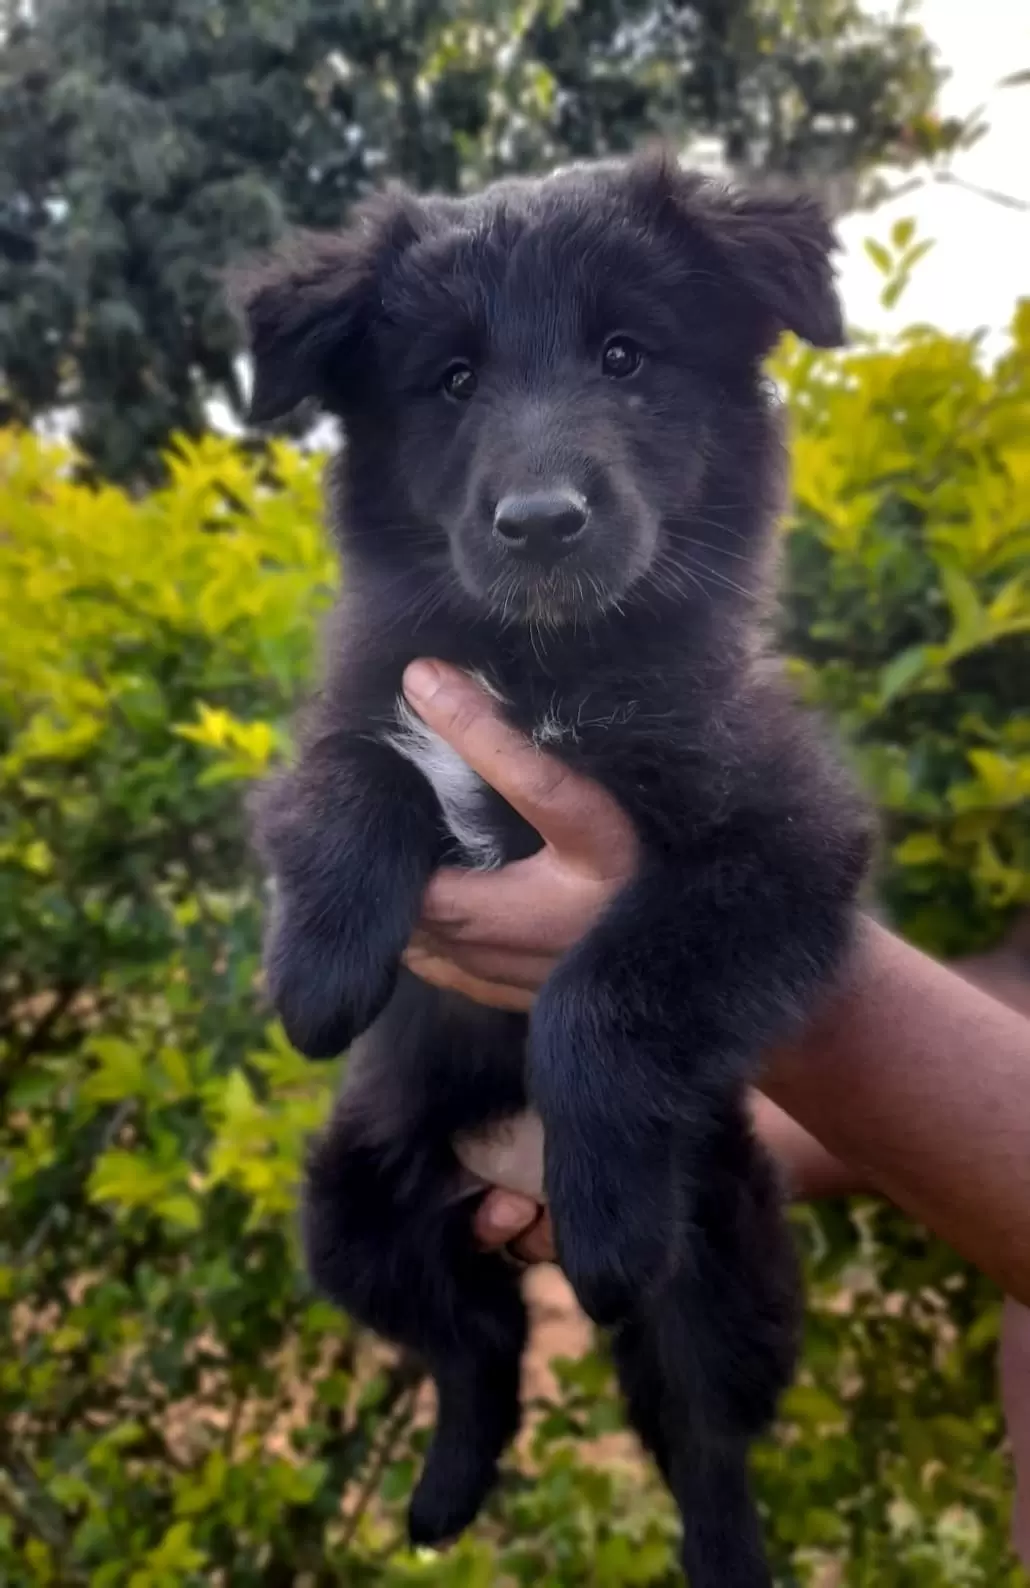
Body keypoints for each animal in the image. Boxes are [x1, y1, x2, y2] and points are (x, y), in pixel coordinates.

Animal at [236, 151, 869, 1588]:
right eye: (453, 380)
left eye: (625, 356)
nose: (538, 523)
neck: (540, 670)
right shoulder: (362, 706)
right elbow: (356, 769)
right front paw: (320, 970)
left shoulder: (782, 837)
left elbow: (604, 984)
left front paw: (601, 1193)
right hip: (351, 1205)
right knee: (477, 1346)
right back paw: (440, 1496)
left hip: (726, 1248)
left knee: (700, 1428)